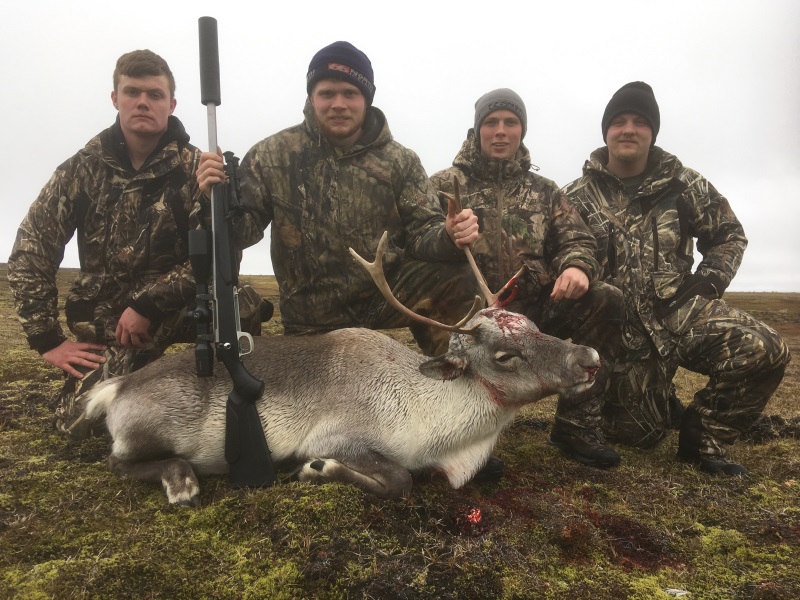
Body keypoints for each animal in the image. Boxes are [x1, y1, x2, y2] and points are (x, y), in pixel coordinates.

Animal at [82, 230, 601, 506]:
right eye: (504, 355)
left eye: (534, 324)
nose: (590, 358)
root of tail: (117, 386)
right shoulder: (339, 437)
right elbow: (399, 479)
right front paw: (317, 470)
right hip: (150, 429)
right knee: (117, 460)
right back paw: (182, 482)